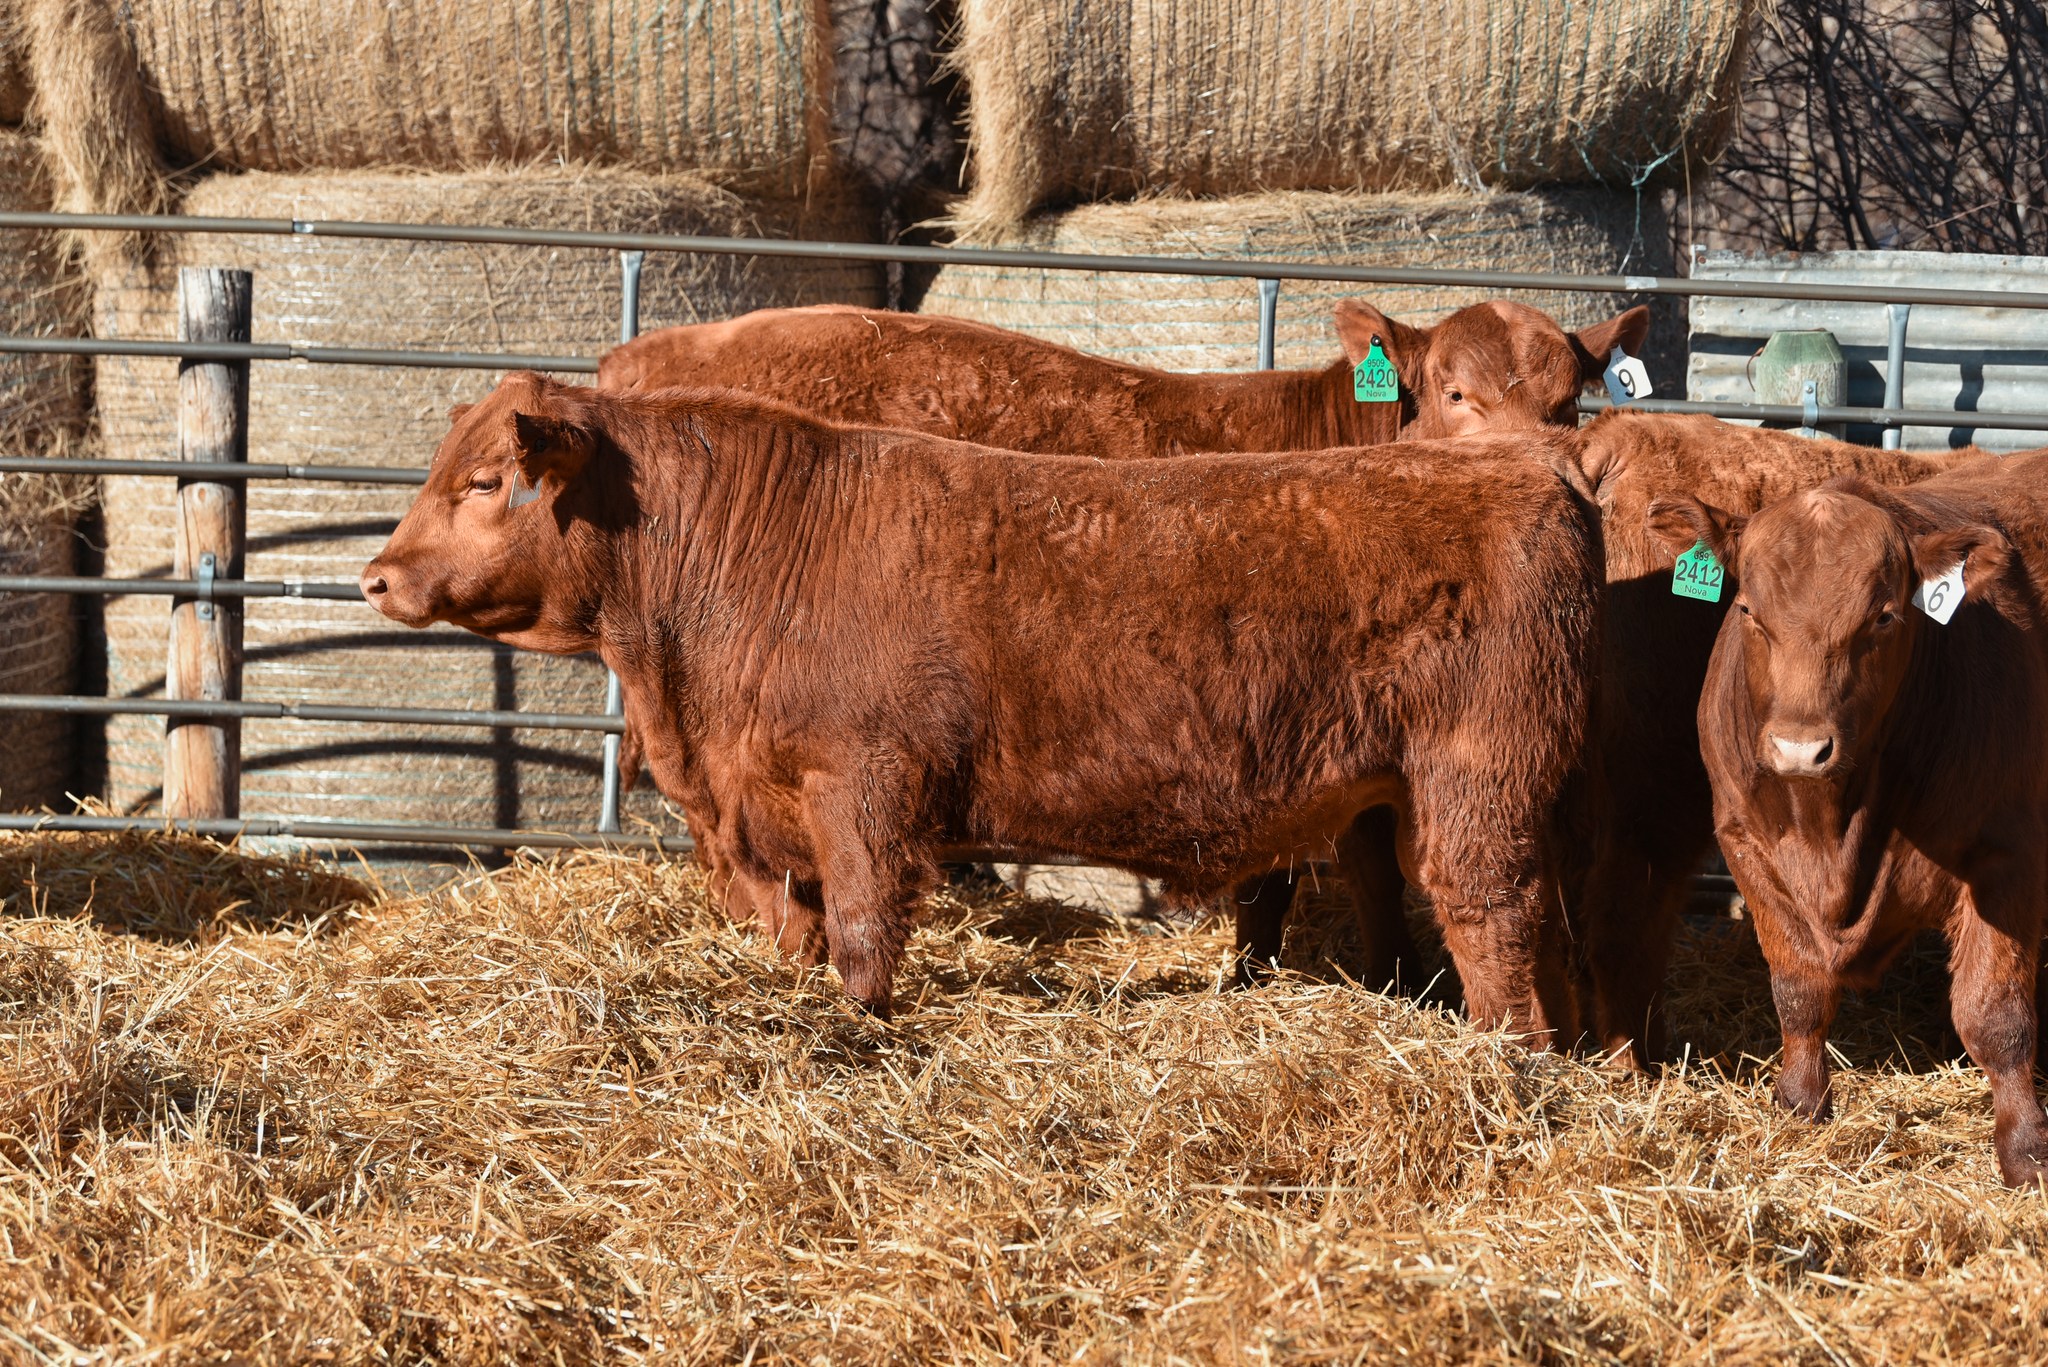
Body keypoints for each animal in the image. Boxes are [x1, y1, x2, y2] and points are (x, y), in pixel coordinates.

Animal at [361, 372, 1603, 1039]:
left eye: (484, 482)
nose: (376, 574)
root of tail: (1530, 465)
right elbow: (794, 926)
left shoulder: (862, 784)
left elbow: (862, 928)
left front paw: (858, 1028)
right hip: (1429, 794)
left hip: (1476, 779)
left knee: (1492, 918)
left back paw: (1506, 1057)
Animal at [1648, 454, 2048, 1186]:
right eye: (1747, 610)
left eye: (1884, 618)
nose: (1800, 748)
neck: (1831, 829)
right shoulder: (1743, 842)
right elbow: (1799, 989)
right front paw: (1801, 1102)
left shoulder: (2007, 851)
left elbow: (1997, 1015)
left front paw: (2026, 1147)